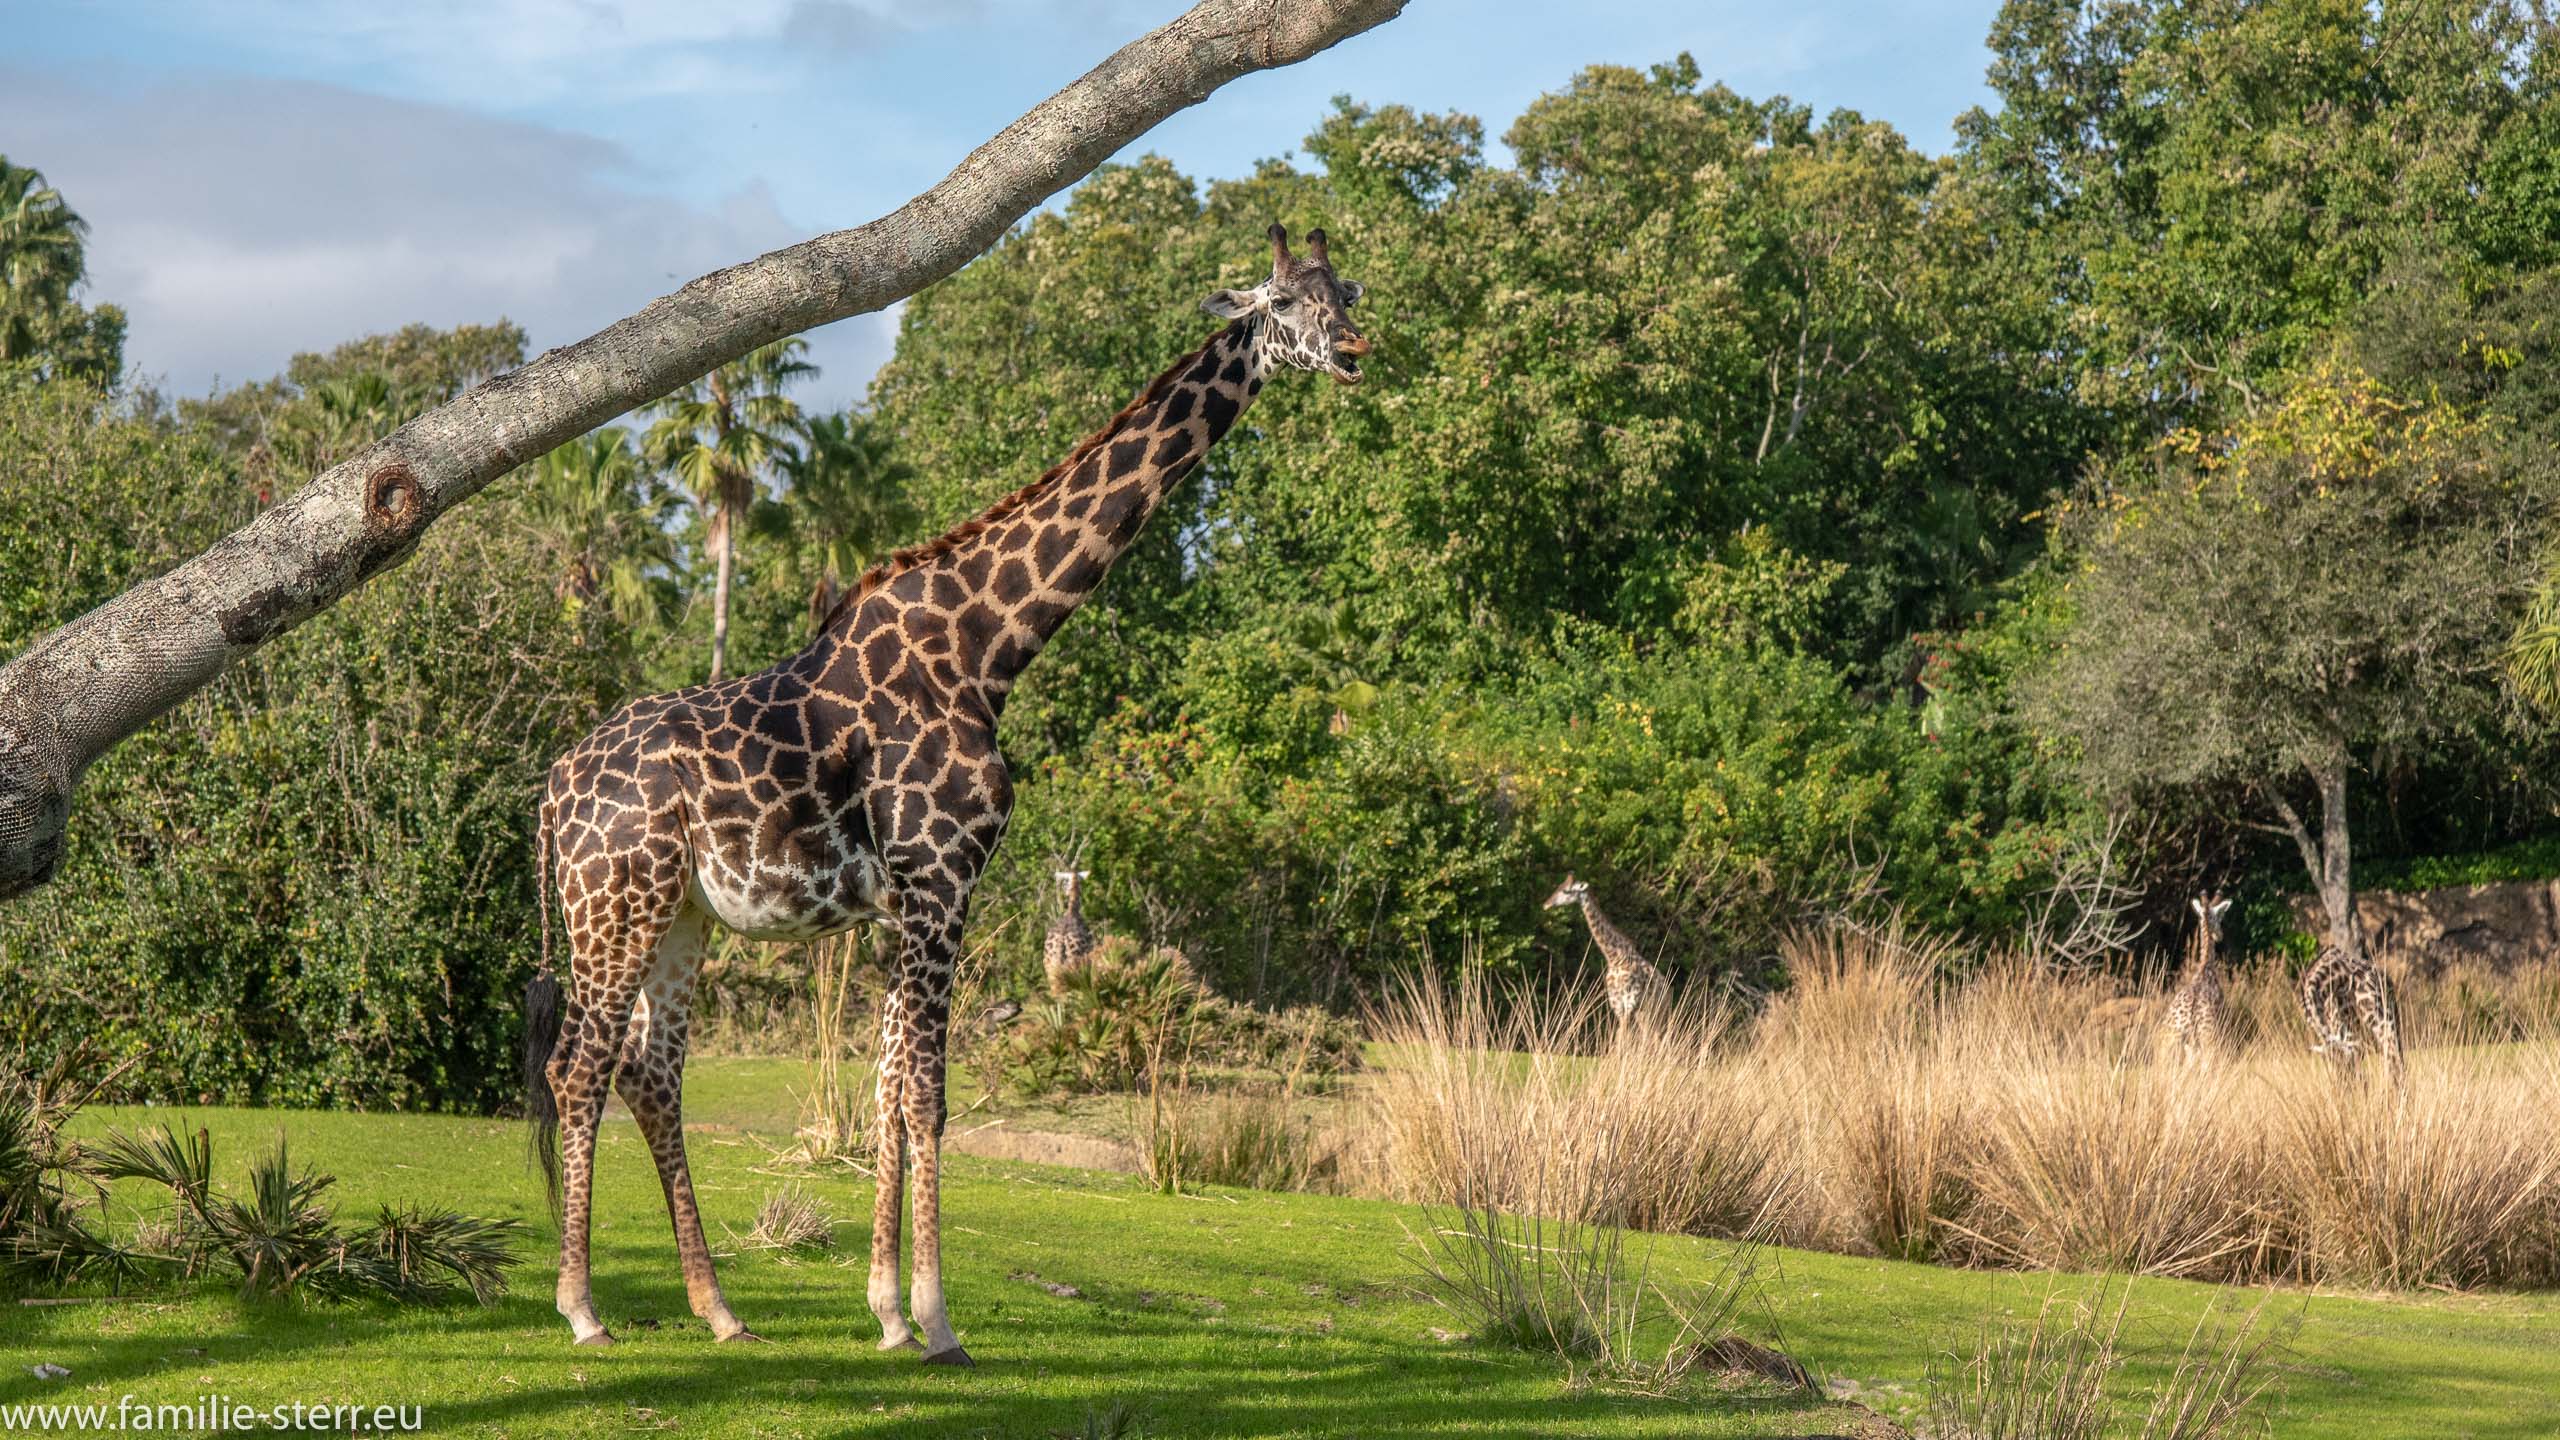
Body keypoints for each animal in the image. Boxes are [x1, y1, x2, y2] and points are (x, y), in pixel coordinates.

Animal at [1543, 874, 1668, 1041]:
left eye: (1566, 890)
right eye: (1559, 886)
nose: (1546, 904)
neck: (1614, 957)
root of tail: (1667, 989)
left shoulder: (1629, 1002)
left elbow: (1622, 1036)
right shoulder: (1617, 1004)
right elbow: (1619, 1036)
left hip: (1656, 1009)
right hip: (1645, 1011)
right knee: (1650, 1035)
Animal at [2160, 892, 2231, 1062]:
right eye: (2220, 917)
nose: (2220, 935)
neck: (2205, 966)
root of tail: (2186, 1023)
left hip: (2169, 1045)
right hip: (2208, 1040)